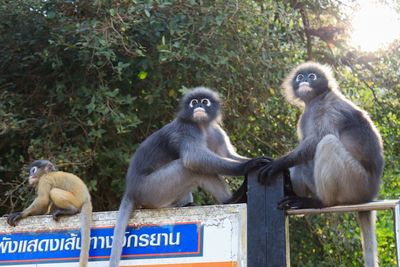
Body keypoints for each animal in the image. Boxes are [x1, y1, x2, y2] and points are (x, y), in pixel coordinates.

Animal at [256, 62, 384, 267]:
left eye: (312, 76)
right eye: (300, 77)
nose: (305, 81)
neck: (315, 100)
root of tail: (371, 193)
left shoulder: (330, 107)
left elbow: (317, 139)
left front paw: (277, 163)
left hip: (355, 183)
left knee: (327, 142)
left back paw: (320, 202)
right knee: (303, 161)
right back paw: (295, 195)